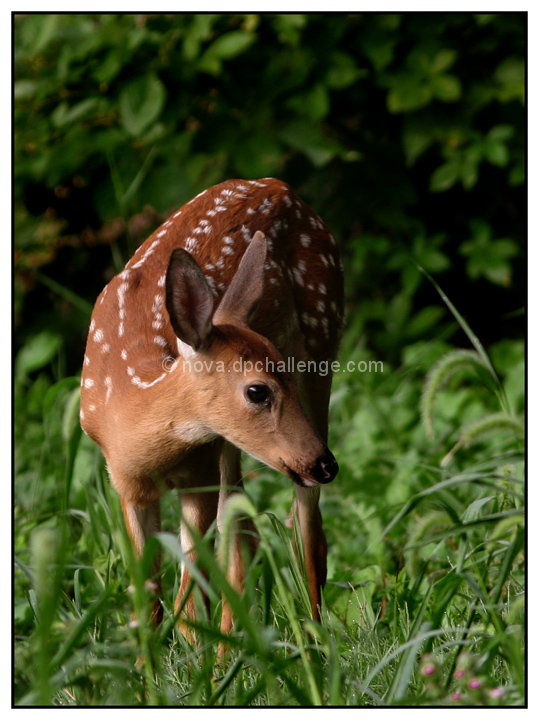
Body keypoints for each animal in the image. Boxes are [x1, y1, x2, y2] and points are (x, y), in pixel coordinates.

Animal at [81, 177, 342, 640]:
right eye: (257, 391)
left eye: (283, 379)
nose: (326, 465)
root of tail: (280, 185)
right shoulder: (126, 484)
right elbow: (149, 603)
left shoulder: (199, 470)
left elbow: (190, 597)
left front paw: (195, 658)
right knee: (244, 526)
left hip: (321, 344)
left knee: (303, 526)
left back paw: (313, 639)